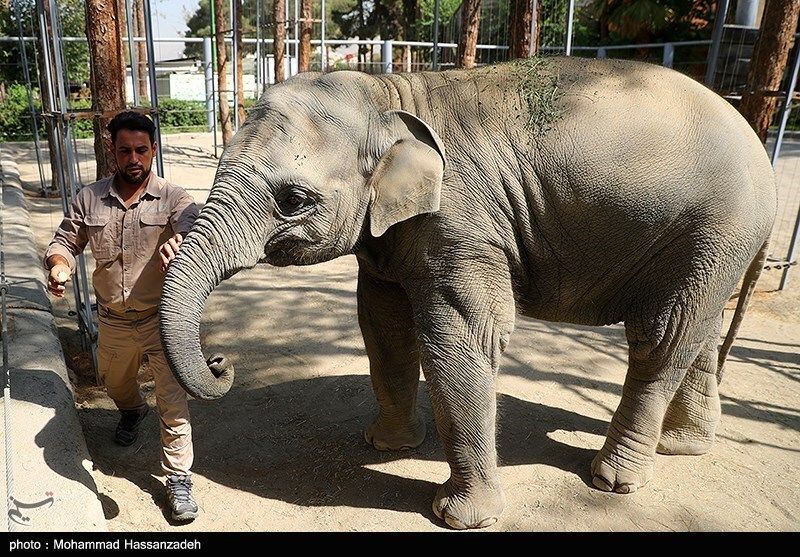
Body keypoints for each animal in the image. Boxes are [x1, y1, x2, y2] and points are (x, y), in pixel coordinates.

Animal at [159, 57, 780, 528]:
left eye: (292, 199)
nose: (220, 361)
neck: (390, 93)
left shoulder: (462, 223)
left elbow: (463, 336)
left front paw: (460, 517)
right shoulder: (394, 233)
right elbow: (381, 323)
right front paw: (386, 446)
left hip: (712, 227)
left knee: (660, 337)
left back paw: (613, 480)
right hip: (716, 246)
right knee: (696, 333)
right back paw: (684, 446)